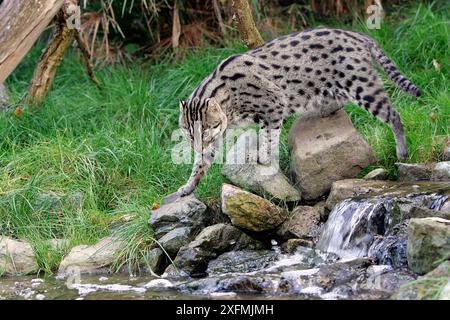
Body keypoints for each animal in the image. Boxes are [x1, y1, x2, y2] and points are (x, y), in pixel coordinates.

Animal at [163, 27, 420, 202]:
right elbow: (200, 164)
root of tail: (357, 35)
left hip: (361, 85)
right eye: (189, 133)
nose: (196, 143)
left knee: (394, 116)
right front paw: (188, 187)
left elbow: (269, 135)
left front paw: (263, 156)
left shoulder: (274, 104)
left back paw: (402, 151)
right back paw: (326, 107)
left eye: (206, 129)